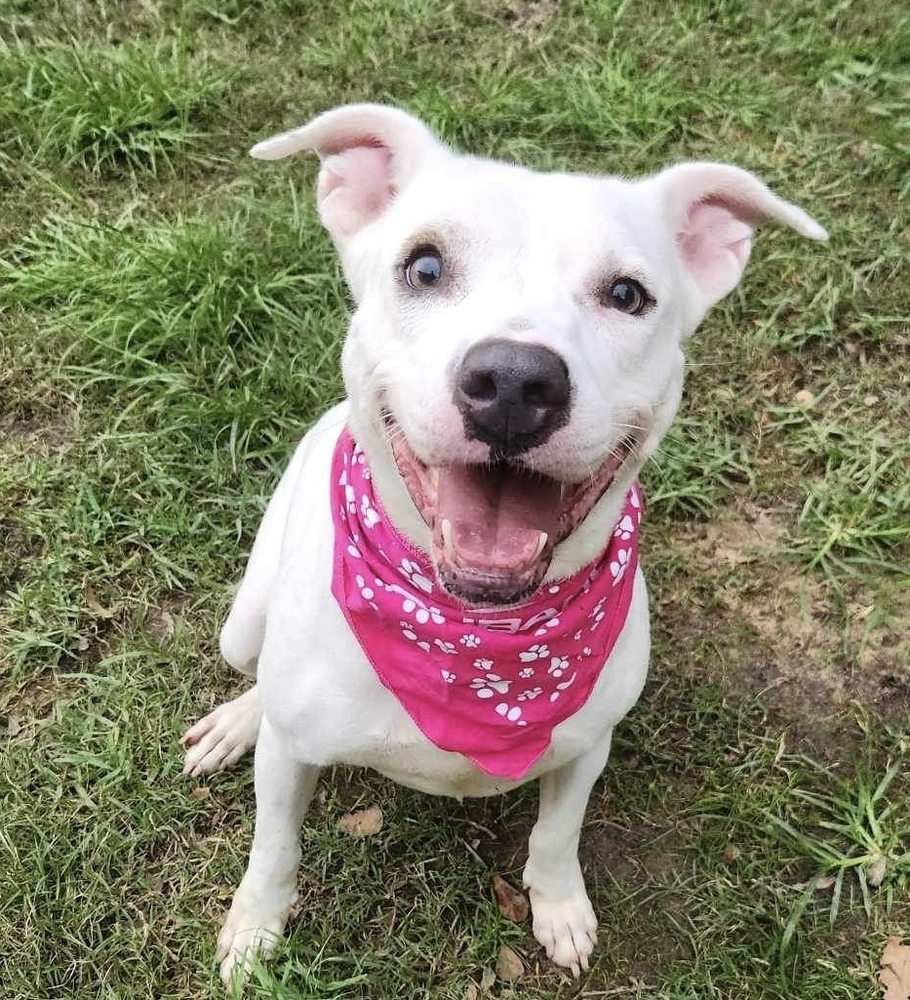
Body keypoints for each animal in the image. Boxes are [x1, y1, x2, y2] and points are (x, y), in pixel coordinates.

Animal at [182, 103, 832, 984]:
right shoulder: (290, 764)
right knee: (256, 676)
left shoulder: (586, 745)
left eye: (627, 294)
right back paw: (238, 721)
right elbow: (274, 847)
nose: (517, 382)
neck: (476, 640)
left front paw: (559, 909)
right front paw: (254, 930)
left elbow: (558, 833)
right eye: (424, 267)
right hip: (242, 621)